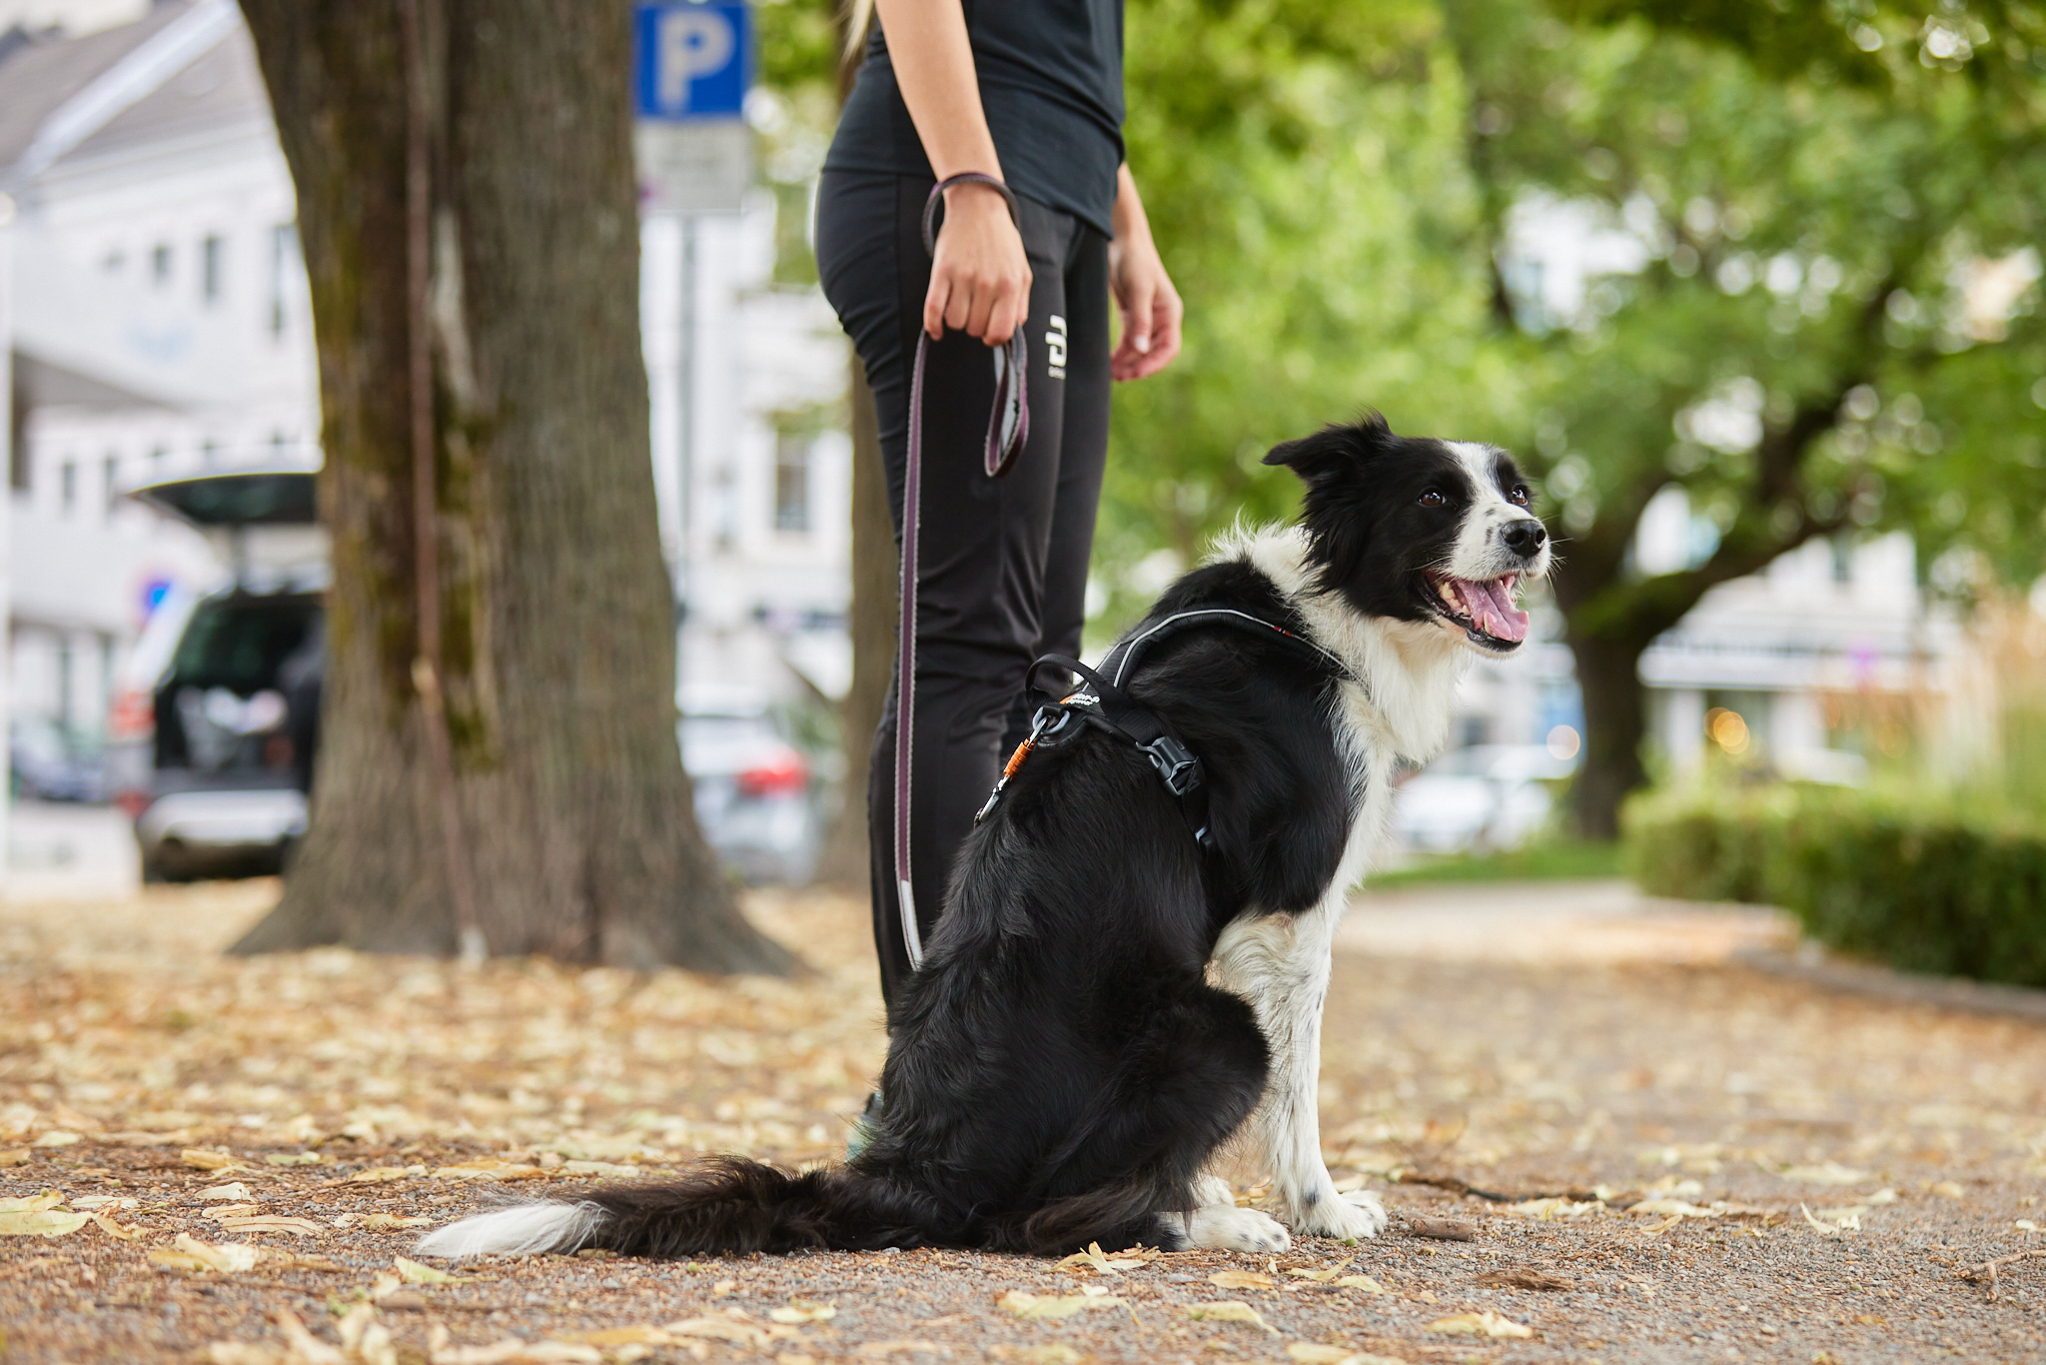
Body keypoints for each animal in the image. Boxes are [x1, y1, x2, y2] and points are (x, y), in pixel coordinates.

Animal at [423, 413, 1554, 1260]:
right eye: (1436, 498)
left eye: (1518, 489)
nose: (1535, 535)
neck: (1319, 623)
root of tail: (914, 1172)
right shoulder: (1288, 919)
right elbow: (1302, 1095)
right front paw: (1321, 1209)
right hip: (1218, 1025)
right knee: (1043, 1220)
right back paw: (1201, 1223)